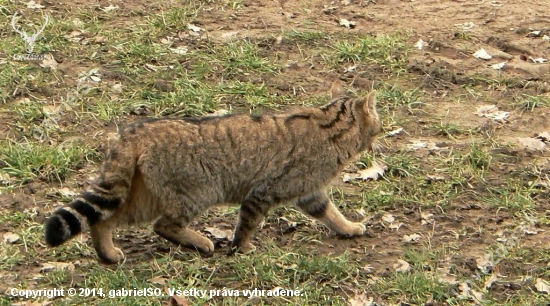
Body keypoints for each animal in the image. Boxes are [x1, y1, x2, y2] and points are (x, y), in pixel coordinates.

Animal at [45, 81, 384, 262]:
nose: (384, 130)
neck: (328, 126)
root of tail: (131, 132)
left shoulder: (309, 193)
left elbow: (331, 213)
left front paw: (348, 228)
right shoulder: (264, 192)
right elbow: (246, 225)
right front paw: (243, 247)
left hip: (142, 196)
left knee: (103, 220)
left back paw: (109, 254)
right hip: (198, 191)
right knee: (163, 225)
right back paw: (200, 242)